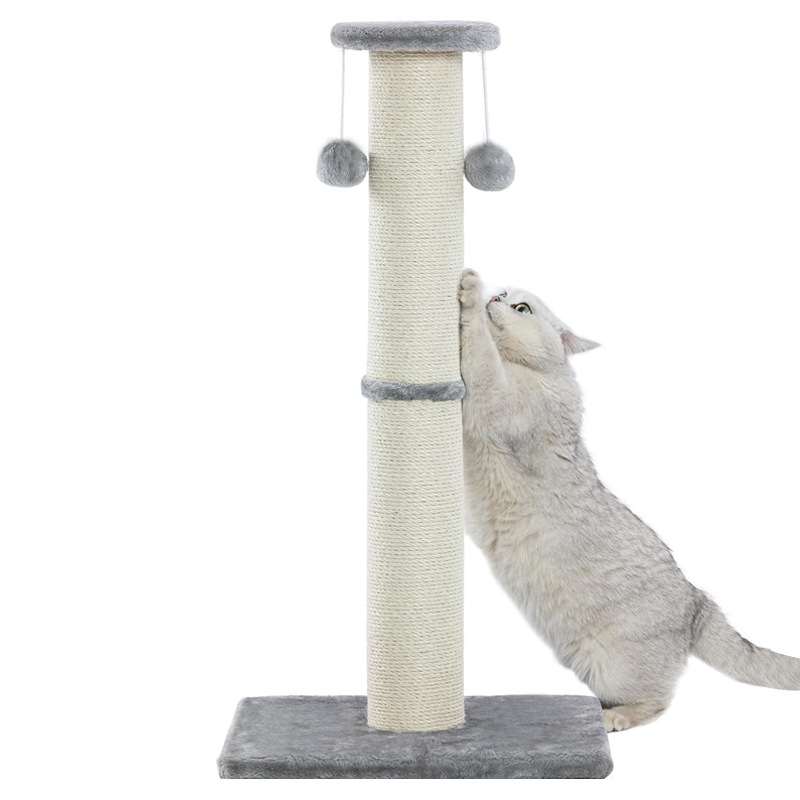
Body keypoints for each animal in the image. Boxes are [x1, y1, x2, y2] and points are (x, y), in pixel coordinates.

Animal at [458, 268, 800, 732]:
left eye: (522, 308)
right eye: (506, 294)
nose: (494, 297)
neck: (536, 371)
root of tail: (697, 603)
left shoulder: (493, 393)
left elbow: (478, 349)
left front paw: (468, 292)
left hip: (613, 662)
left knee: (658, 702)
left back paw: (611, 718)